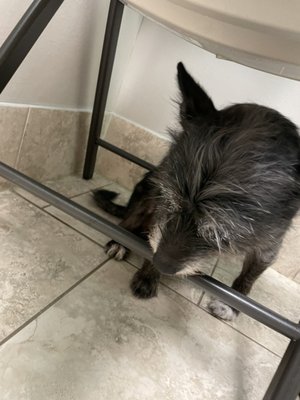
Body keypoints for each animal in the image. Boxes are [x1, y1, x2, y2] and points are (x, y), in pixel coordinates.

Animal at [94, 63, 300, 322]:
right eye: (170, 203)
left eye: (222, 233)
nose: (162, 265)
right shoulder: (160, 196)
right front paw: (148, 274)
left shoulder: (268, 245)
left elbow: (247, 278)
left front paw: (232, 305)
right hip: (147, 188)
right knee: (130, 219)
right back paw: (120, 241)